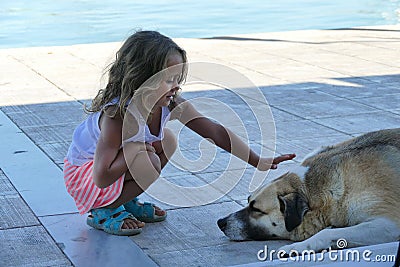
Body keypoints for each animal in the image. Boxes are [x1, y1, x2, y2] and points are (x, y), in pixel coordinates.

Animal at [219, 129, 400, 254]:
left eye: (256, 209)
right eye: (248, 201)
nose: (220, 222)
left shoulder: (388, 225)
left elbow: (325, 233)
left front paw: (297, 247)